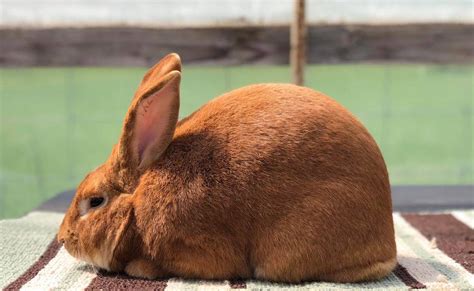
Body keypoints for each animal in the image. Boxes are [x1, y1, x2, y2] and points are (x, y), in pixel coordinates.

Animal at [58, 53, 396, 284]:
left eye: (95, 201)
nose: (62, 239)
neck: (138, 203)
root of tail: (388, 244)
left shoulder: (197, 247)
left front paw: (138, 268)